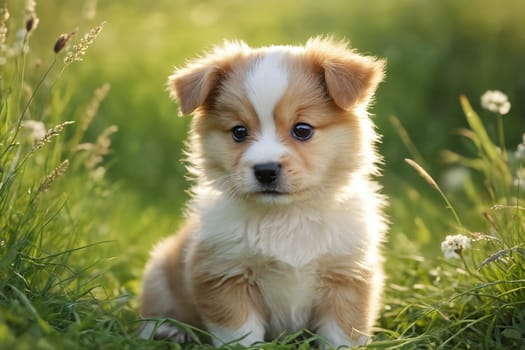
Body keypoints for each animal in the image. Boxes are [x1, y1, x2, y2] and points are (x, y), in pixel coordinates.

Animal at [141, 35, 386, 348]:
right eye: (239, 132)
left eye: (302, 130)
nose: (266, 170)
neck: (285, 218)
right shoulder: (225, 276)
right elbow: (240, 336)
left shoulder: (347, 276)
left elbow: (341, 334)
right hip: (159, 272)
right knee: (152, 314)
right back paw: (169, 332)